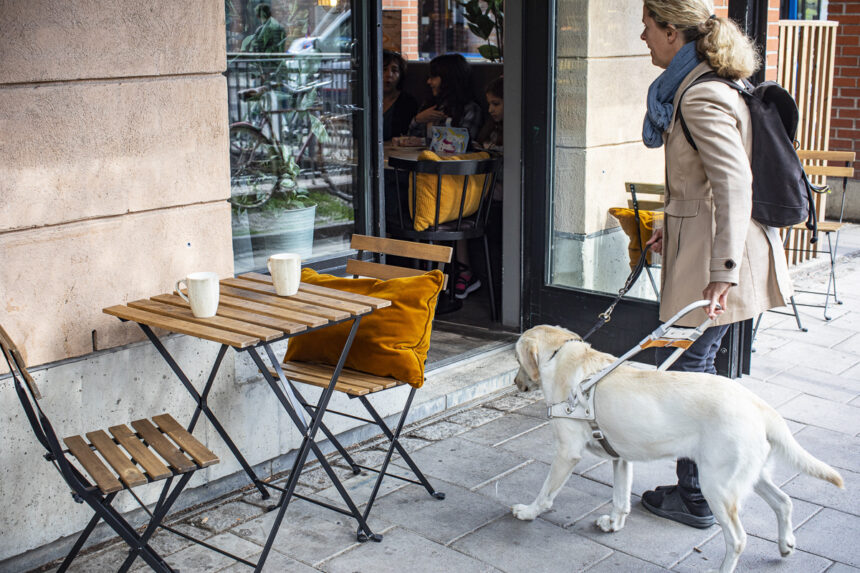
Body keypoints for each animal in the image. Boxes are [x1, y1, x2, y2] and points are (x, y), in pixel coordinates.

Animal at [512, 326, 844, 572]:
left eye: (516, 361)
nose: (515, 382)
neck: (561, 356)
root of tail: (759, 405)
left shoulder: (567, 453)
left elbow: (546, 493)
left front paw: (528, 511)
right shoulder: (621, 459)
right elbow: (620, 498)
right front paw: (614, 524)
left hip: (717, 487)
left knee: (738, 539)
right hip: (749, 475)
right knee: (784, 502)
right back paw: (786, 544)